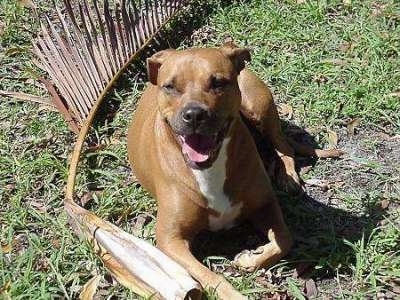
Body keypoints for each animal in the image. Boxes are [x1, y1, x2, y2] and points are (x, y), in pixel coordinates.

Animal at [127, 43, 340, 298]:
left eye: (218, 83)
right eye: (170, 86)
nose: (194, 114)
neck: (210, 170)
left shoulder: (265, 204)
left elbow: (285, 237)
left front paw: (252, 258)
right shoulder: (170, 239)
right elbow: (211, 277)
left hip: (259, 108)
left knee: (283, 144)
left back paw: (288, 176)